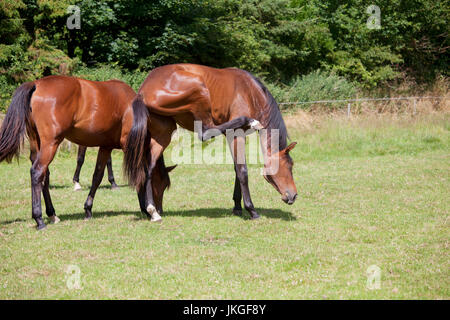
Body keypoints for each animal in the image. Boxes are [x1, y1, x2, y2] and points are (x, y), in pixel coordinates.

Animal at [0, 75, 176, 230]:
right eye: (162, 184)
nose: (160, 209)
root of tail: (36, 84)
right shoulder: (129, 145)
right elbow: (141, 174)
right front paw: (149, 210)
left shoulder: (105, 147)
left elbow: (97, 176)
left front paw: (88, 209)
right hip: (51, 144)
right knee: (37, 172)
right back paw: (39, 219)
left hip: (37, 144)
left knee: (44, 176)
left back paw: (52, 215)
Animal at [125, 63, 298, 220]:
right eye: (289, 166)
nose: (294, 195)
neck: (251, 92)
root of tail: (143, 91)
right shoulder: (237, 134)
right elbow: (242, 171)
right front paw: (251, 210)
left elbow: (236, 169)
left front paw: (237, 207)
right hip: (199, 91)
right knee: (206, 131)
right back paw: (250, 121)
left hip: (163, 135)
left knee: (149, 170)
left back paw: (152, 211)